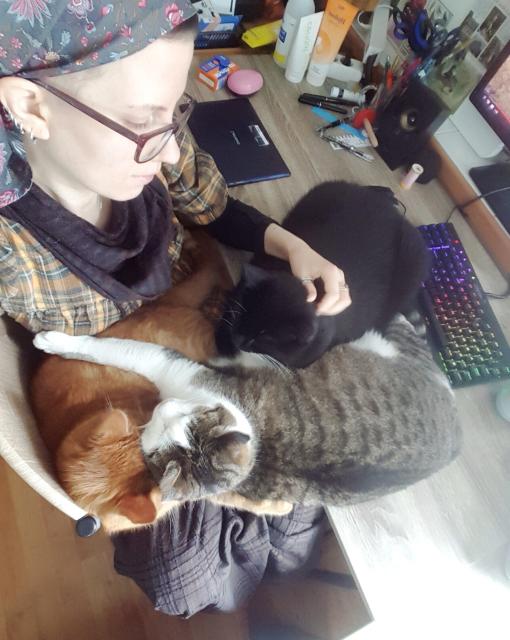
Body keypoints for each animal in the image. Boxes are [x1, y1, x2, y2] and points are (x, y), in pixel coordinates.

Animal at [32, 316, 462, 520]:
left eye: (193, 417)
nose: (163, 408)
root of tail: (456, 445)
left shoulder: (174, 367)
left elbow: (119, 349)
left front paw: (54, 340)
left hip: (392, 342)